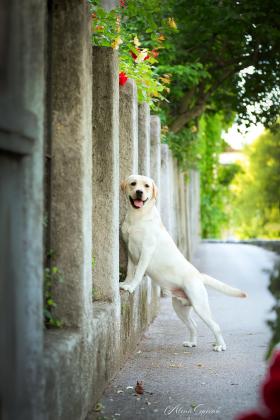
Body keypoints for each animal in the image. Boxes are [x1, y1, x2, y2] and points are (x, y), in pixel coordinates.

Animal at [119, 174, 246, 352]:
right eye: (133, 184)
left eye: (146, 186)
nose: (139, 192)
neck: (138, 217)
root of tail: (198, 275)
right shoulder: (130, 252)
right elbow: (131, 271)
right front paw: (126, 283)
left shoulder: (146, 251)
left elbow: (137, 273)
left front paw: (131, 286)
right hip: (180, 308)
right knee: (193, 326)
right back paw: (192, 342)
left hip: (200, 305)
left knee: (215, 325)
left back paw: (220, 345)